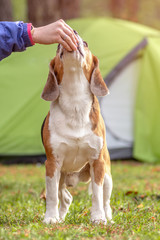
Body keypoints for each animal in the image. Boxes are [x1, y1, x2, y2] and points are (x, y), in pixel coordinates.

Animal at [41, 31, 112, 224]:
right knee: (65, 197)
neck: (75, 101)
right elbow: (52, 196)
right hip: (61, 177)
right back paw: (60, 218)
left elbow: (97, 195)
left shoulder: (97, 162)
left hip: (107, 175)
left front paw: (98, 218)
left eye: (85, 43)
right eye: (56, 46)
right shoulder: (52, 164)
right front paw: (50, 218)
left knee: (105, 200)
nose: (73, 32)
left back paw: (108, 217)